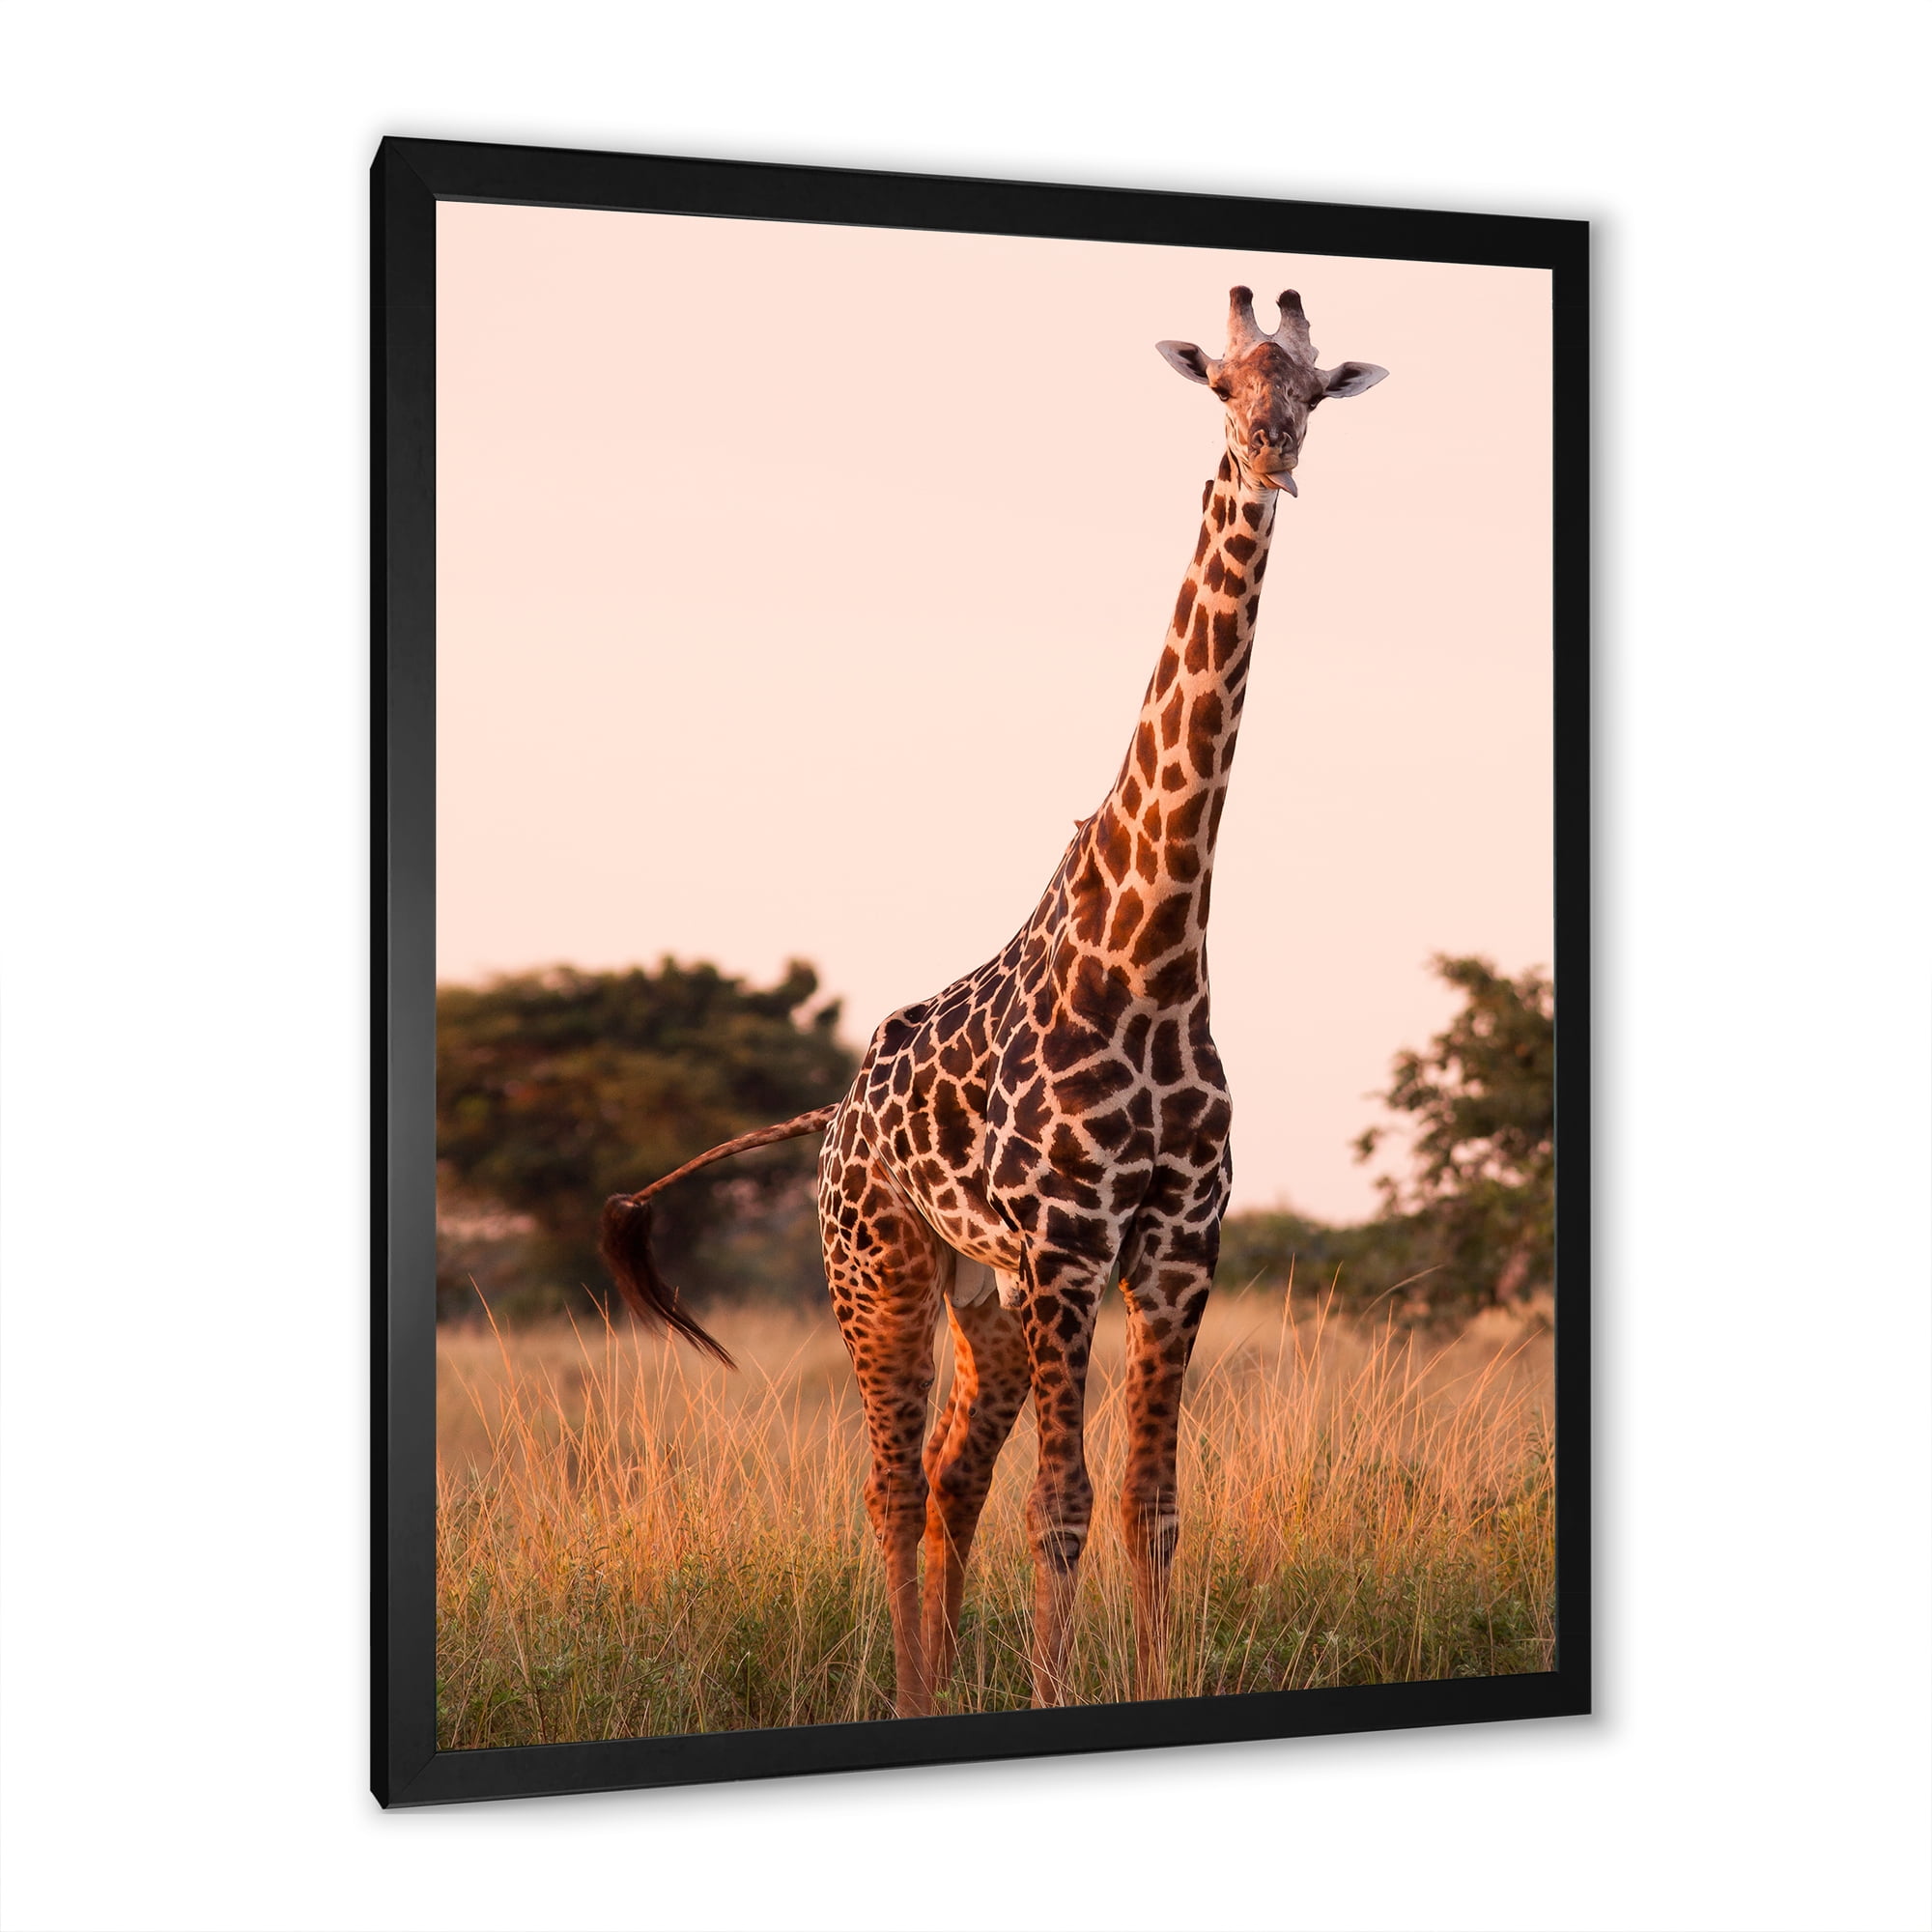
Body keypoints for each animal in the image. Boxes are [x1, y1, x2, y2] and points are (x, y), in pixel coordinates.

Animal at [601, 286, 1387, 1716]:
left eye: (1308, 391)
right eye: (1220, 387)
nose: (1270, 457)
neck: (1151, 959)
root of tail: (832, 1120)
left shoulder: (1175, 1251)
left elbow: (1149, 1507)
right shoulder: (1070, 1250)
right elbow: (1062, 1507)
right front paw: (1050, 1694)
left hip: (986, 1298)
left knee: (950, 1477)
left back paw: (937, 1681)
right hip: (881, 1268)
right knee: (893, 1481)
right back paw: (915, 1692)